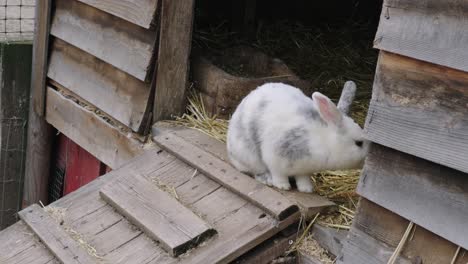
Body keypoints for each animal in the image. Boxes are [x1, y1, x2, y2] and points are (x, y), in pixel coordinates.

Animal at [227, 81, 370, 193]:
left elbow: (302, 178)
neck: (322, 140)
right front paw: (283, 186)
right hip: (249, 156)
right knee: (256, 170)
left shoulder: (304, 170)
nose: (366, 160)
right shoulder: (275, 158)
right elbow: (278, 174)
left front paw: (306, 189)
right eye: (358, 143)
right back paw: (267, 179)